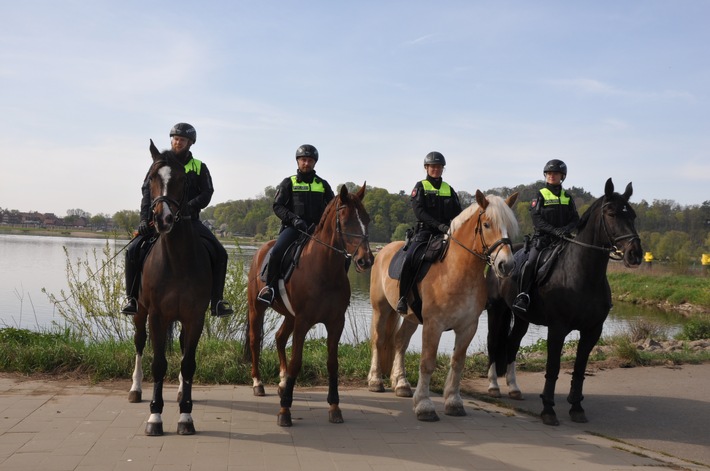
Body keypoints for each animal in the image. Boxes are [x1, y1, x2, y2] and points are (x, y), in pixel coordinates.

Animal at [129, 142, 213, 436]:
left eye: (181, 179)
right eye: (150, 179)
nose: (161, 218)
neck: (177, 260)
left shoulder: (194, 317)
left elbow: (188, 363)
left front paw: (185, 415)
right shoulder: (156, 316)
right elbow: (158, 363)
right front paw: (155, 416)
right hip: (139, 312)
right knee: (139, 344)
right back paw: (135, 389)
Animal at [248, 183, 376, 428]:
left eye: (367, 218)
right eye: (346, 220)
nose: (366, 260)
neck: (324, 269)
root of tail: (262, 249)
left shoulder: (335, 322)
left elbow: (332, 363)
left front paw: (334, 407)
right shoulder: (303, 321)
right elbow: (296, 362)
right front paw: (285, 411)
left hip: (289, 316)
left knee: (279, 337)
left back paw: (282, 382)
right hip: (256, 309)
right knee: (254, 341)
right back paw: (258, 383)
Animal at [370, 192, 520, 420]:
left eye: (510, 227)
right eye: (486, 224)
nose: (507, 265)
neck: (455, 271)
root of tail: (383, 251)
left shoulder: (467, 327)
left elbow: (458, 363)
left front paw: (453, 402)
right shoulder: (434, 325)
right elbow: (427, 362)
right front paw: (424, 405)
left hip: (411, 318)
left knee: (400, 342)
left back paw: (401, 383)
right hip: (382, 309)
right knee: (379, 341)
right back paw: (375, 380)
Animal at [490, 178, 644, 428]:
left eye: (632, 215)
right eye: (611, 213)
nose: (635, 254)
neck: (581, 274)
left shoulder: (592, 330)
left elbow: (580, 368)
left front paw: (576, 407)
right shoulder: (557, 329)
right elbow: (552, 367)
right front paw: (548, 410)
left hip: (521, 317)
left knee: (512, 343)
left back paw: (513, 388)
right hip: (497, 310)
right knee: (494, 343)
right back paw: (493, 386)